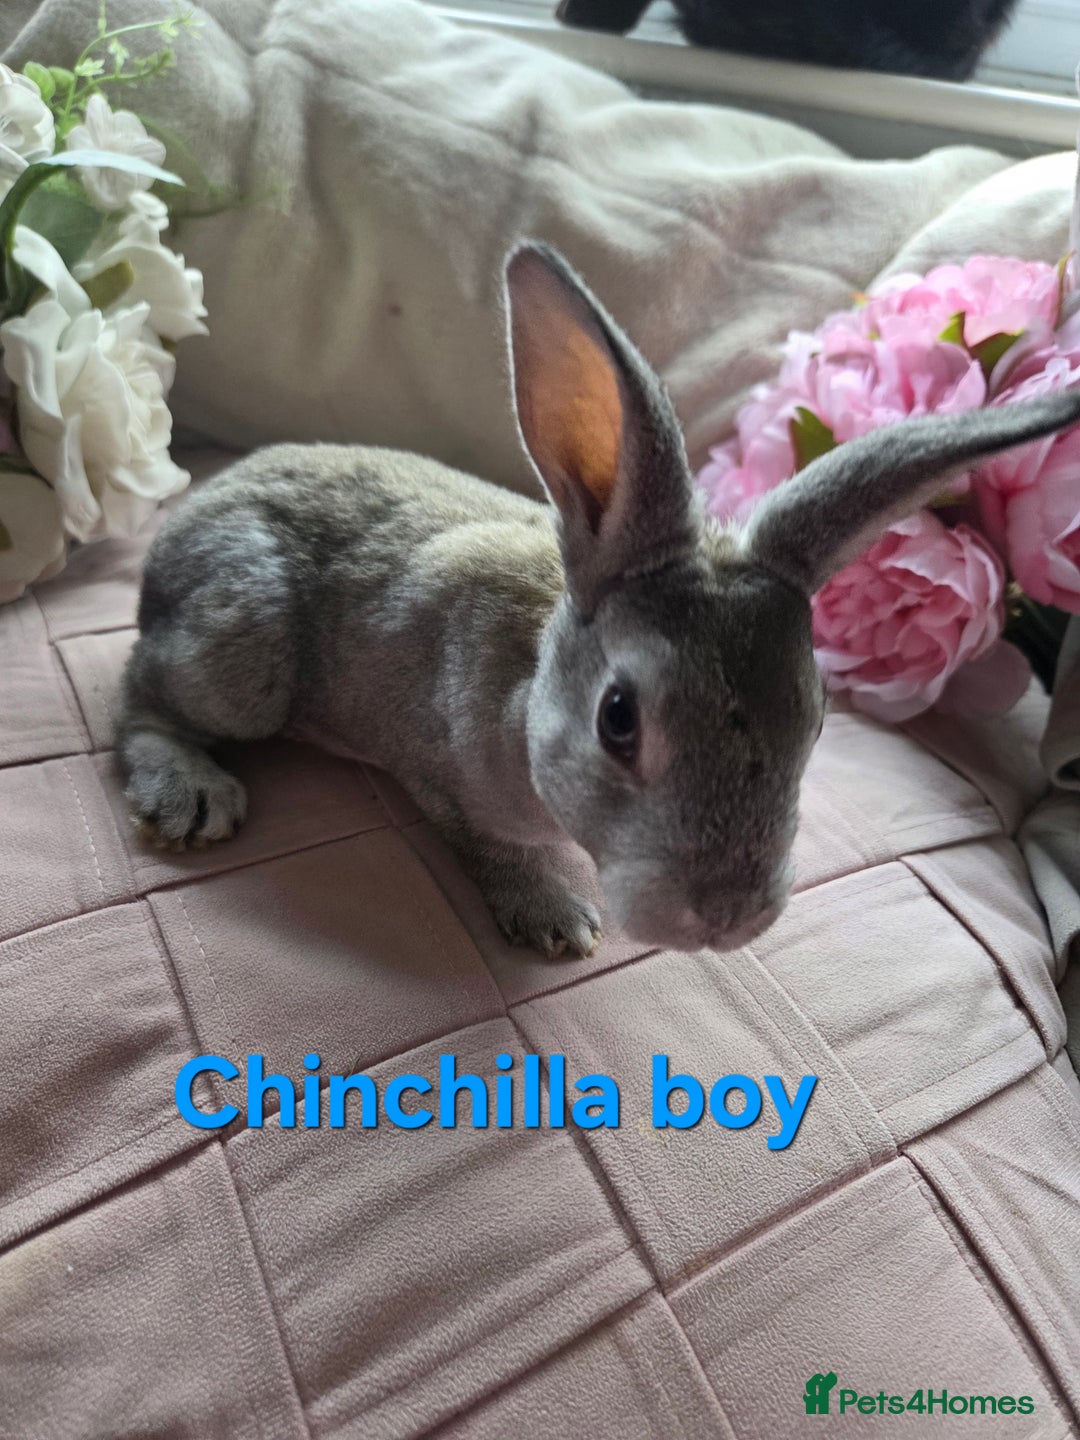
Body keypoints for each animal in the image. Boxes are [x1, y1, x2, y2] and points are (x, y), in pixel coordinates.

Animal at [116, 241, 1080, 960]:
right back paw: (190, 793)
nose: (725, 917)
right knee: (138, 698)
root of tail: (181, 521)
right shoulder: (444, 774)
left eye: (814, 726)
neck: (529, 686)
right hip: (246, 649)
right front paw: (558, 920)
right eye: (619, 720)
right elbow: (493, 845)